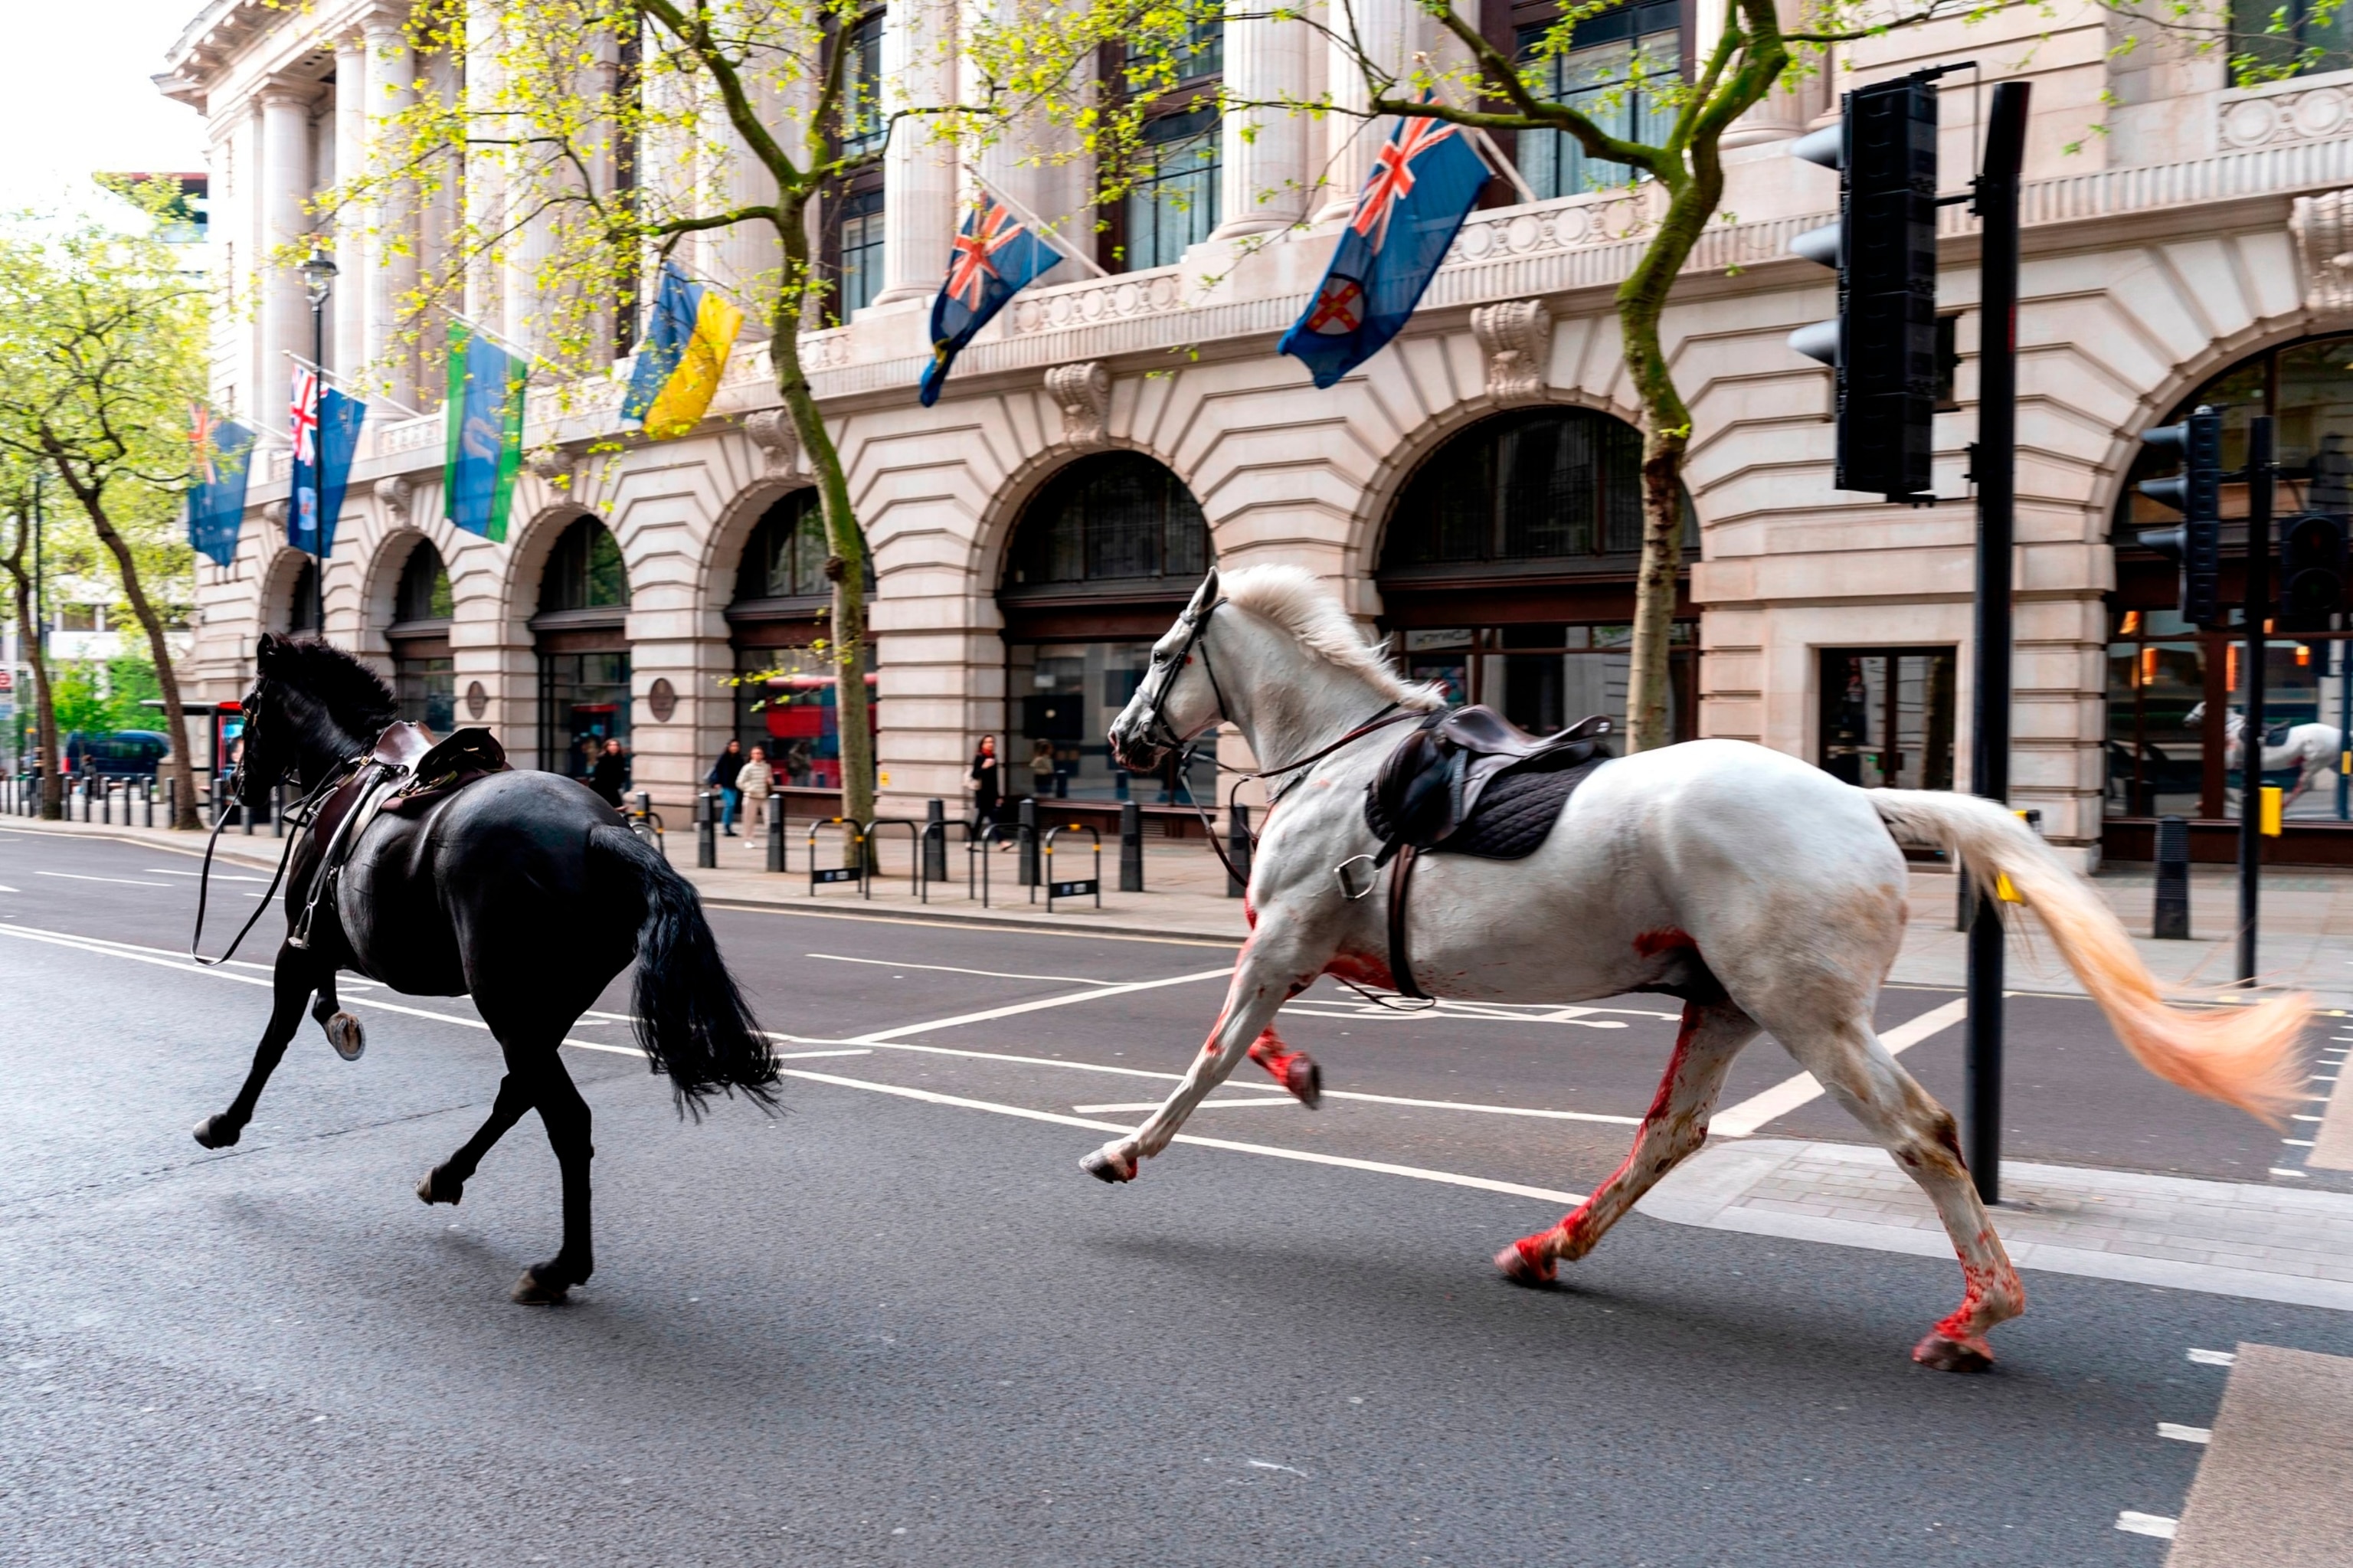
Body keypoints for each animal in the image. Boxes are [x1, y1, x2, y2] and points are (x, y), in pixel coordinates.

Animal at [195, 630, 781, 1299]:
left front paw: (226, 1122)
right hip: (545, 1008)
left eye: (248, 707)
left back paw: (559, 1266)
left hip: (507, 1003)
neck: (350, 762)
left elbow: (272, 1041)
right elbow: (321, 1005)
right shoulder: (322, 945)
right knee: (518, 1093)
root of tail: (599, 832)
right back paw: (449, 1176)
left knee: (566, 1120)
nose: (235, 780)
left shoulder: (301, 945)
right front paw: (340, 1024)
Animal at [1091, 571, 2306, 1365]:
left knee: (1921, 1133)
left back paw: (1977, 1316)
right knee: (1671, 1133)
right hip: (1725, 1003)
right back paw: (1550, 1244)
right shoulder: (1298, 945)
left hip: (1808, 1012)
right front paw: (1298, 1075)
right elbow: (1251, 1039)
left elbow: (1212, 1053)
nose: (1120, 738)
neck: (1346, 764)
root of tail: (1864, 802)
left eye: (1155, 655)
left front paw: (1125, 1149)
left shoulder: (1282, 938)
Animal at [2174, 706, 2343, 810]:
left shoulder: (2229, 761)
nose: (2186, 721)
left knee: (2300, 787)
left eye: (2202, 707)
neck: (2230, 729)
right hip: (2332, 764)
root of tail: (2338, 733)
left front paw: (2202, 802)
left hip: (2313, 764)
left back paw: (2282, 806)